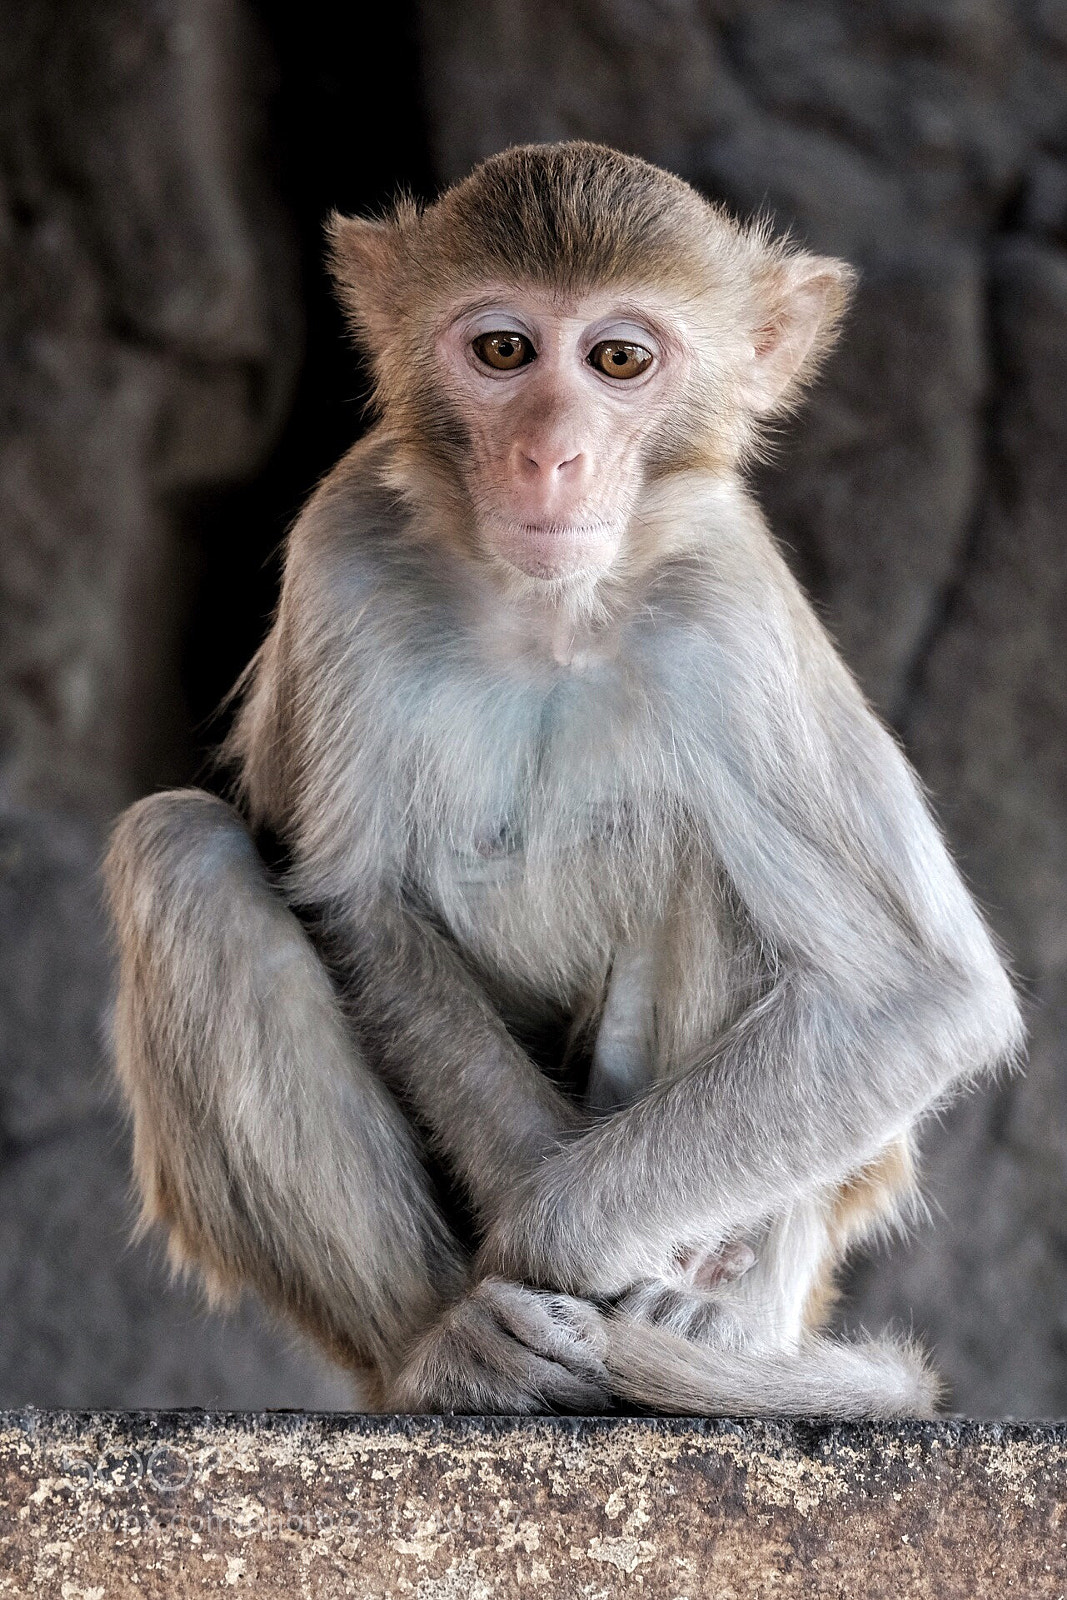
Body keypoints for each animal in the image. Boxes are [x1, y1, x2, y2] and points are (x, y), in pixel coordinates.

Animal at [105, 142, 1023, 1419]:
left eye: (617, 359)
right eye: (503, 351)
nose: (549, 455)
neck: (546, 614)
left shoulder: (726, 602)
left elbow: (912, 997)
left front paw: (558, 1241)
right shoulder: (342, 550)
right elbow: (359, 905)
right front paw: (517, 1253)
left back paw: (703, 1325)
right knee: (182, 854)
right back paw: (445, 1349)